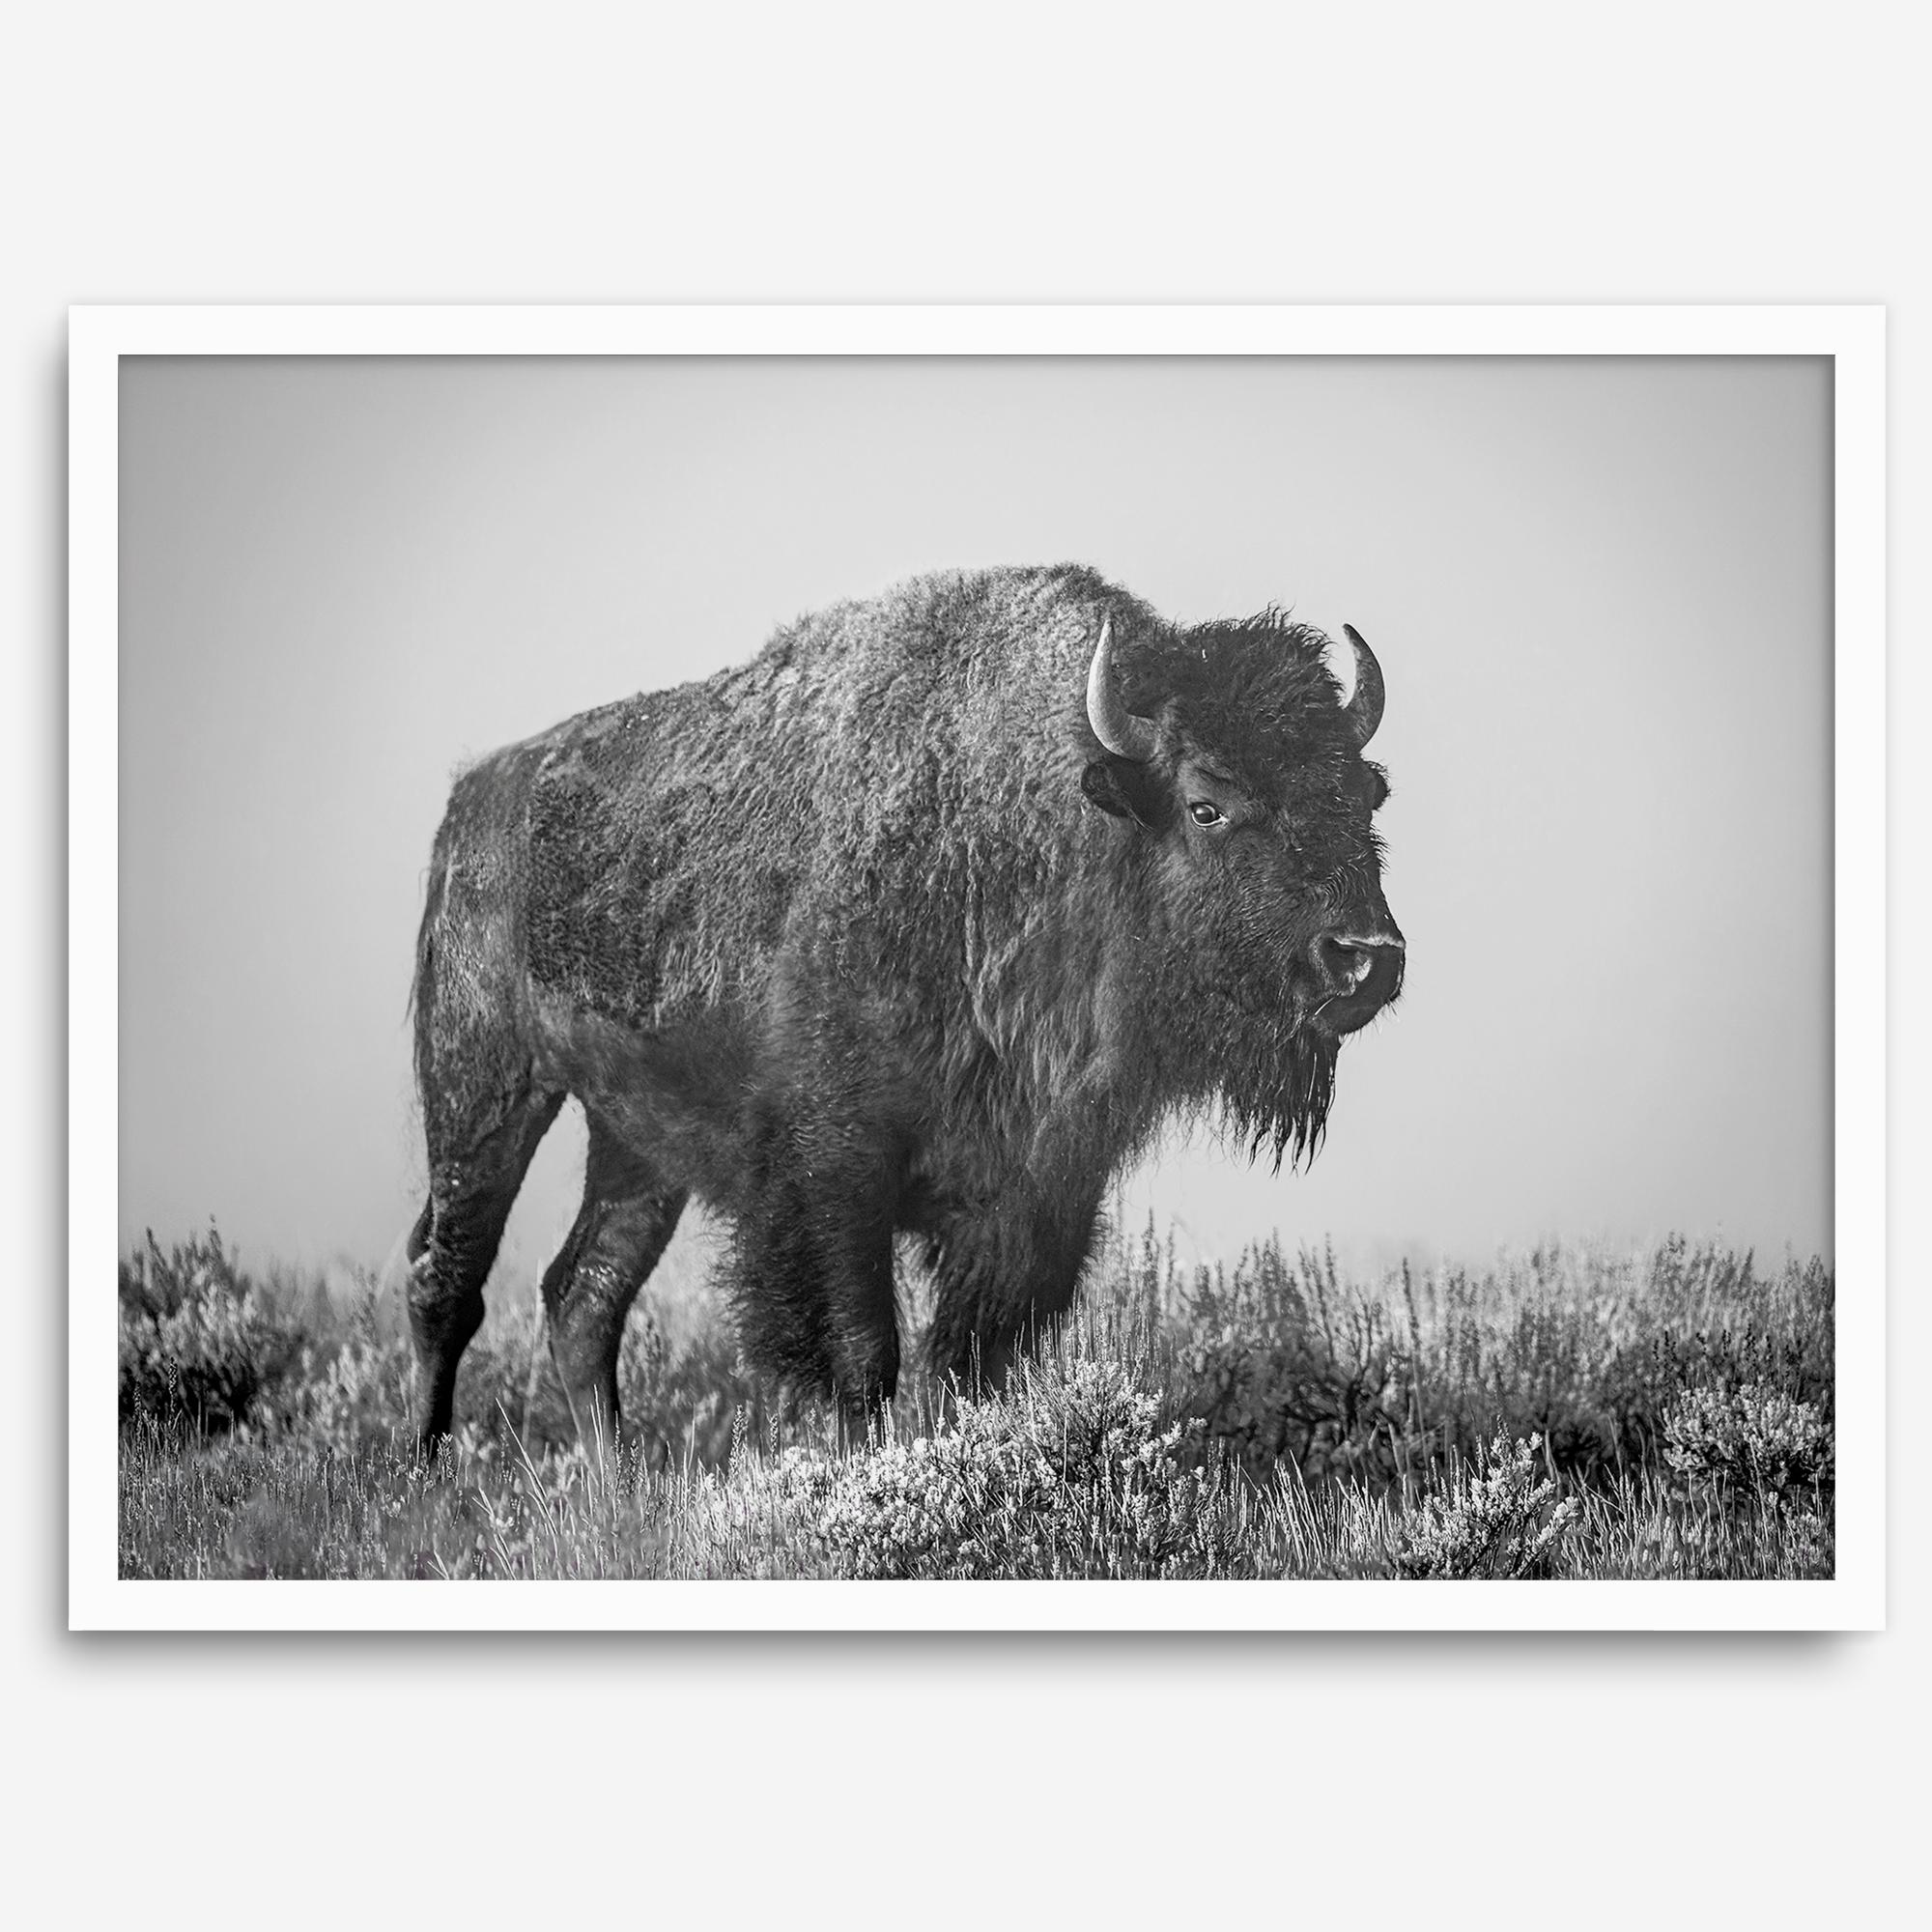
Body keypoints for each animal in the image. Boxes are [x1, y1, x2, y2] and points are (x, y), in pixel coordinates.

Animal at [404, 564, 1403, 1454]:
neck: (1032, 835)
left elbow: (970, 1364)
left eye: (1363, 795)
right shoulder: (835, 1173)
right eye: (1206, 806)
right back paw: (426, 1473)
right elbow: (861, 1357)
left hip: (635, 1139)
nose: (1365, 959)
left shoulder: (1033, 1199)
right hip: (482, 1089)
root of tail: (473, 798)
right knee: (446, 1279)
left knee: (586, 1292)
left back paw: (613, 1489)